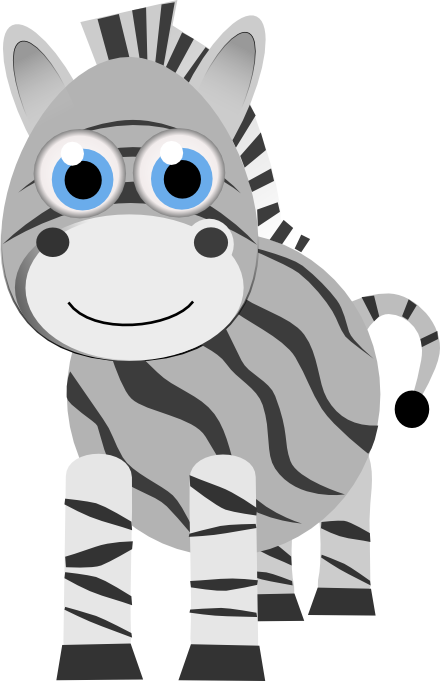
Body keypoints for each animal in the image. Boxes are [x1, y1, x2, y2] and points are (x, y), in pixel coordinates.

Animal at [2, 3, 381, 678]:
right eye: (78, 177)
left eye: (183, 177)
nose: (128, 260)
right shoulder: (91, 468)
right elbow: (96, 577)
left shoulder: (222, 470)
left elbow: (213, 579)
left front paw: (214, 659)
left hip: (345, 481)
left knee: (337, 533)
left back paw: (332, 607)